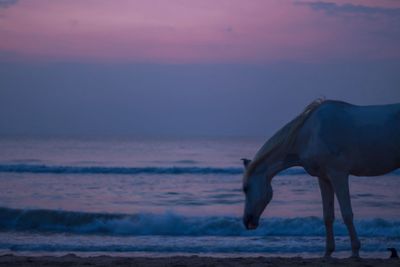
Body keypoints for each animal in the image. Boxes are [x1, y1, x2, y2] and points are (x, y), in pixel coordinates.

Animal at [241, 99, 400, 258]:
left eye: (246, 188)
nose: (247, 221)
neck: (310, 135)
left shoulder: (338, 175)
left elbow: (347, 214)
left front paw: (355, 252)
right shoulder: (324, 178)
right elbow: (328, 216)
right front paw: (328, 252)